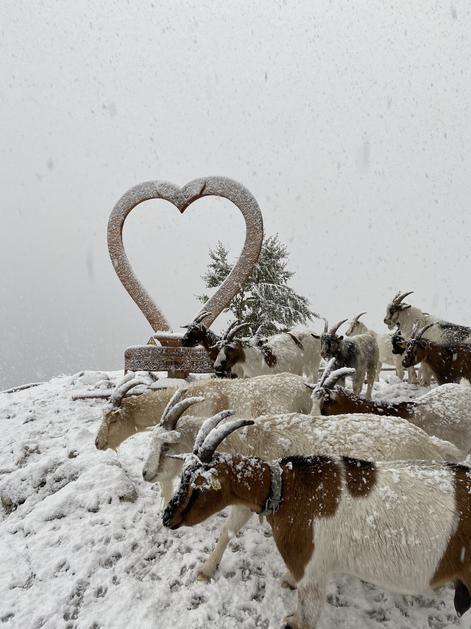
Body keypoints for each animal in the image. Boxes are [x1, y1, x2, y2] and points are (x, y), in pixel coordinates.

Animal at [143, 392, 460, 581]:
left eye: (165, 447)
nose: (146, 473)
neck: (249, 442)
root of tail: (432, 444)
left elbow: (227, 532)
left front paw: (206, 569)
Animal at [163, 418, 471, 628]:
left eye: (198, 486)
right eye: (183, 474)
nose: (167, 518)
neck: (286, 488)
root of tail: (433, 444)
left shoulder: (311, 573)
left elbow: (303, 619)